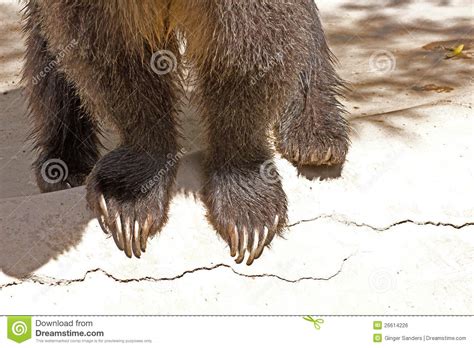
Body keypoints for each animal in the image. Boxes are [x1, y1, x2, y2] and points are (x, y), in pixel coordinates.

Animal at [22, 0, 348, 266]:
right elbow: (112, 47)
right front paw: (129, 201)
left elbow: (249, 41)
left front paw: (247, 210)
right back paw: (63, 162)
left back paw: (316, 134)